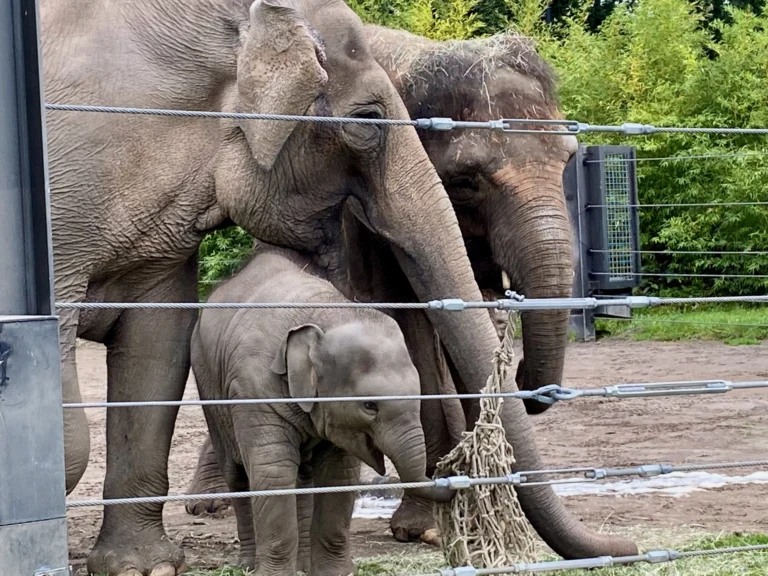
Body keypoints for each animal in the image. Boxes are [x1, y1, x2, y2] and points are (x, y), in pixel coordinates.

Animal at [191, 246, 454, 575]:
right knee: (238, 474)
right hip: (208, 384)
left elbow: (339, 477)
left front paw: (335, 572)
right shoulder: (252, 387)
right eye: (369, 405)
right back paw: (249, 565)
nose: (451, 469)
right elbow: (273, 472)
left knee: (302, 477)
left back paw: (303, 564)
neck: (323, 314)